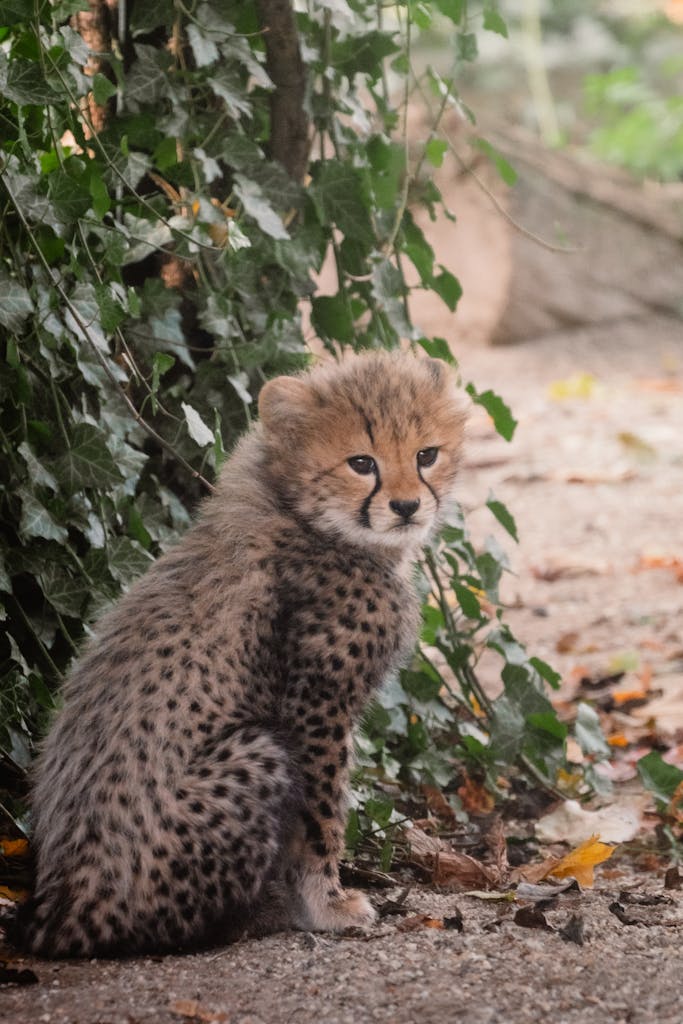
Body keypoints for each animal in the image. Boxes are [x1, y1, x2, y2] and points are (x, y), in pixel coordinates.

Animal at [13, 349, 466, 958]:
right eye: (361, 462)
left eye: (426, 455)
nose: (407, 506)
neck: (302, 512)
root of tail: (58, 909)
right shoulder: (315, 710)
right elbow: (321, 819)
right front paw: (326, 905)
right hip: (258, 752)